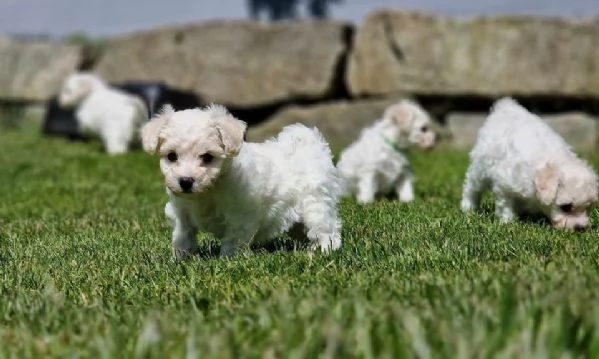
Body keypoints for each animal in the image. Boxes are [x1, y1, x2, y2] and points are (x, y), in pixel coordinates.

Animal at [141, 104, 344, 258]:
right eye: (171, 156)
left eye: (207, 157)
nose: (186, 181)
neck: (209, 190)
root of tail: (311, 146)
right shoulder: (181, 210)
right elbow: (183, 234)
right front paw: (180, 257)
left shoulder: (240, 214)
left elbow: (233, 240)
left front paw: (227, 260)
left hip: (316, 204)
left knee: (325, 229)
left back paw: (323, 250)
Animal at [462, 97, 596, 231]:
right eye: (566, 207)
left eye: (588, 206)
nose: (580, 228)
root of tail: (505, 107)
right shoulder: (504, 184)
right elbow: (505, 205)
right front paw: (508, 222)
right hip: (480, 168)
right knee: (471, 187)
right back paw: (468, 207)